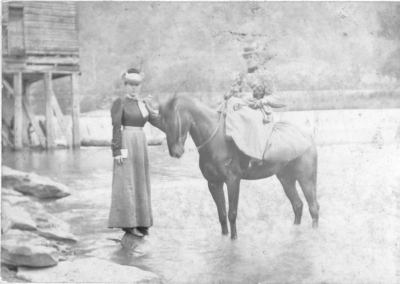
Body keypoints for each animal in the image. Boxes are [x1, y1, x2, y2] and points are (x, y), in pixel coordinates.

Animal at [158, 95, 318, 240]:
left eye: (174, 119)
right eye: (162, 122)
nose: (176, 153)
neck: (216, 140)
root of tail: (308, 136)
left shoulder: (233, 180)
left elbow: (232, 214)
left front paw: (234, 238)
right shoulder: (214, 183)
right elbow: (222, 215)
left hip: (305, 178)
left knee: (313, 207)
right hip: (286, 178)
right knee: (298, 205)